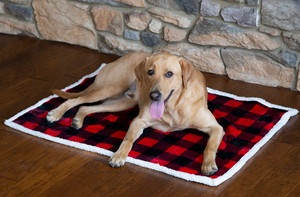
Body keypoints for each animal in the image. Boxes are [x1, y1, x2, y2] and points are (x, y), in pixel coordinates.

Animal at [47, 51, 224, 175]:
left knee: (85, 107)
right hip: (108, 88)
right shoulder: (139, 121)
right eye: (150, 72)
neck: (174, 106)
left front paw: (208, 164)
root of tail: (116, 60)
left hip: (121, 102)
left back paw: (77, 120)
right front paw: (119, 155)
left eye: (169, 74)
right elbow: (128, 140)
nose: (154, 95)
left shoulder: (216, 128)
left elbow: (209, 146)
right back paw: (55, 114)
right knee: (76, 100)